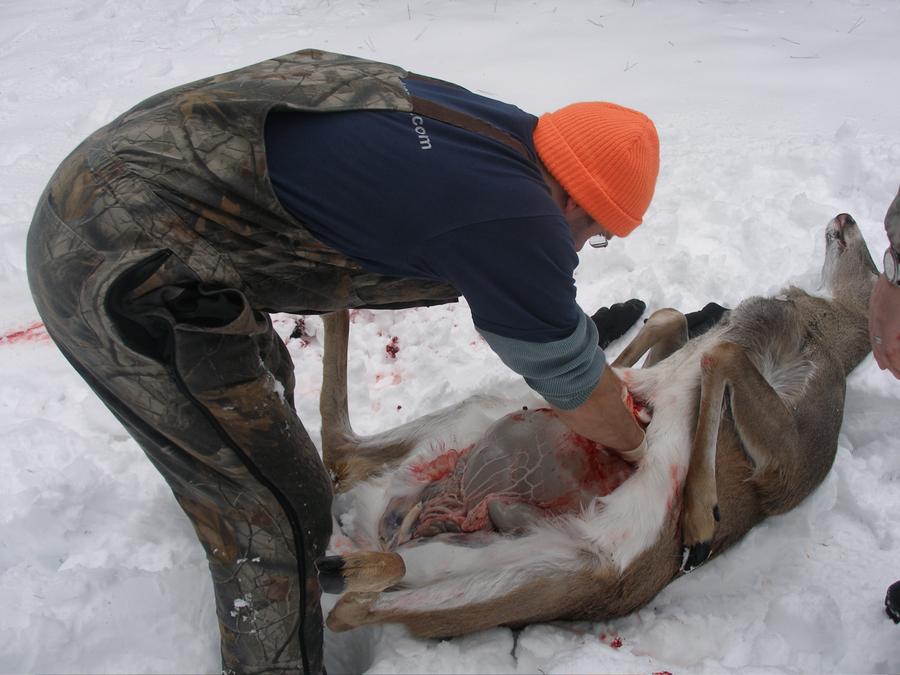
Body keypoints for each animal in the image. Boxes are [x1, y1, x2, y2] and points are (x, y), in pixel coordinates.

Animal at [313, 212, 878, 639]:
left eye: (877, 265)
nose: (846, 217)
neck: (827, 330)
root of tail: (379, 524)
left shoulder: (794, 462)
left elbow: (717, 353)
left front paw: (698, 518)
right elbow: (676, 324)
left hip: (548, 573)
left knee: (350, 596)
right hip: (481, 428)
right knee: (342, 460)